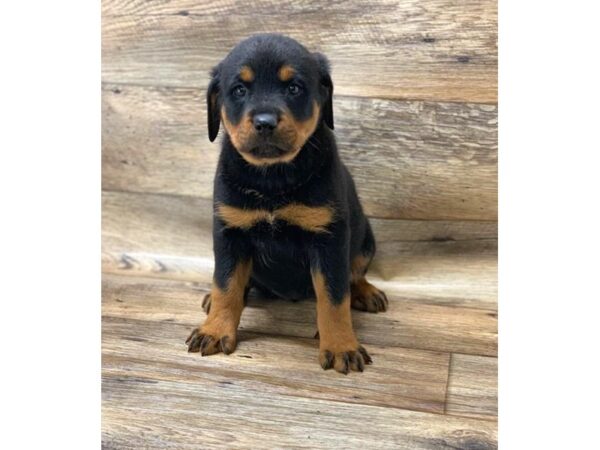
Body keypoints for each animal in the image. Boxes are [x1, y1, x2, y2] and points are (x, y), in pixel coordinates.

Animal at [185, 34, 386, 372]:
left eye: (294, 88)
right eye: (239, 90)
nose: (265, 122)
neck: (273, 179)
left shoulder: (329, 239)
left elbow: (334, 297)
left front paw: (341, 346)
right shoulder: (230, 232)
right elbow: (226, 284)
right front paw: (214, 329)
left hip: (365, 239)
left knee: (355, 272)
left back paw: (365, 292)